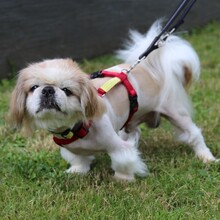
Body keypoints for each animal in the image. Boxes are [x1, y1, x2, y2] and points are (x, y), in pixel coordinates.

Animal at [9, 20, 217, 180]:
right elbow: (79, 160)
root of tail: (151, 68)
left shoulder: (116, 146)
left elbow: (123, 160)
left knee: (194, 134)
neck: (74, 130)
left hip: (176, 113)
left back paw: (207, 158)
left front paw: (123, 179)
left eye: (67, 90)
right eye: (34, 88)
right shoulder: (73, 150)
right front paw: (77, 171)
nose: (48, 90)